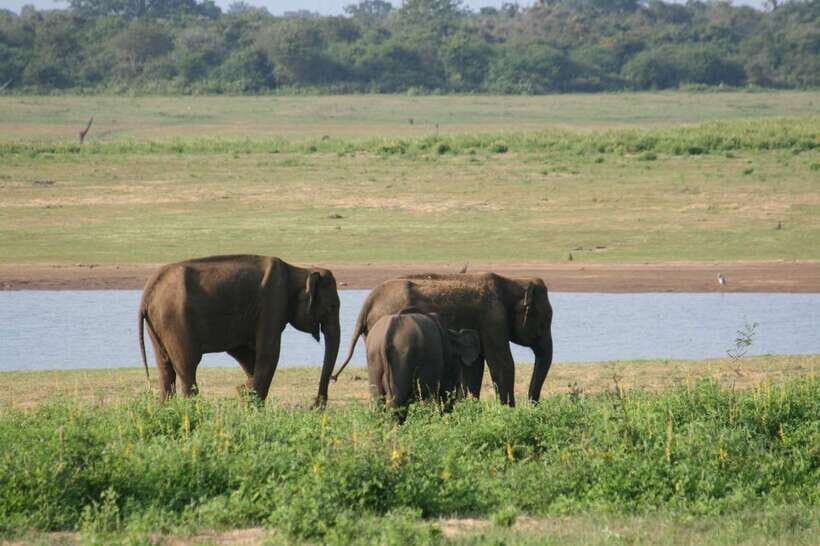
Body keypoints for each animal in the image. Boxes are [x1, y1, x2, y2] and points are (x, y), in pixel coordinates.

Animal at [138, 254, 340, 405]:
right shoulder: (273, 303)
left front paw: (244, 390)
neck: (299, 270)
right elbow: (269, 353)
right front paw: (252, 402)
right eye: (332, 307)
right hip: (174, 319)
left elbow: (243, 352)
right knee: (187, 366)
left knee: (165, 369)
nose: (315, 406)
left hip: (157, 324)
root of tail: (147, 294)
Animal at [334, 273, 553, 406]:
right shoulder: (493, 318)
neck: (513, 282)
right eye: (543, 324)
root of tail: (368, 301)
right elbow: (502, 364)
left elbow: (474, 367)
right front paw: (508, 412)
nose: (532, 406)